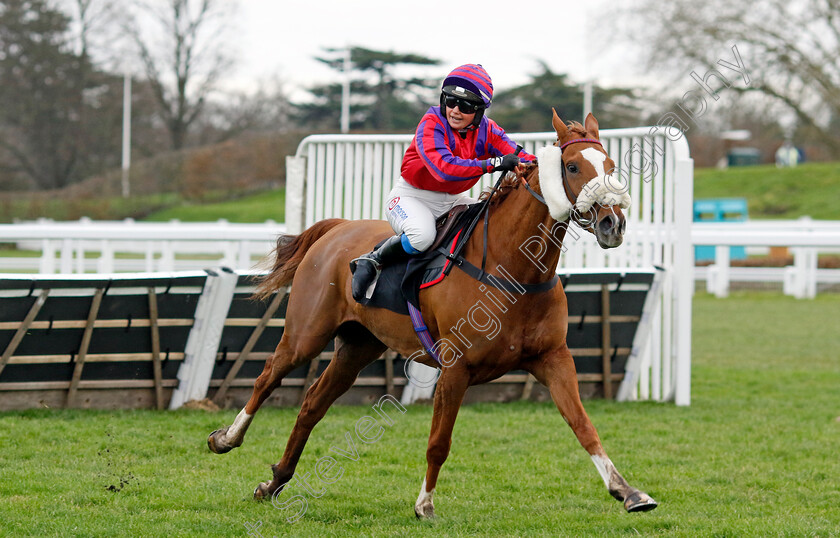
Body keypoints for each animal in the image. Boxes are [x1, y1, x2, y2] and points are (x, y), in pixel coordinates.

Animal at [208, 110, 656, 516]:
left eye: (611, 167)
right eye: (572, 165)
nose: (612, 223)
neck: (514, 269)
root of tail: (336, 228)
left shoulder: (553, 358)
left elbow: (584, 426)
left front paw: (629, 492)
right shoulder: (456, 368)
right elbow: (439, 442)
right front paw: (424, 504)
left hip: (358, 346)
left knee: (311, 405)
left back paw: (275, 482)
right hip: (306, 333)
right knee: (267, 378)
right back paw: (226, 439)